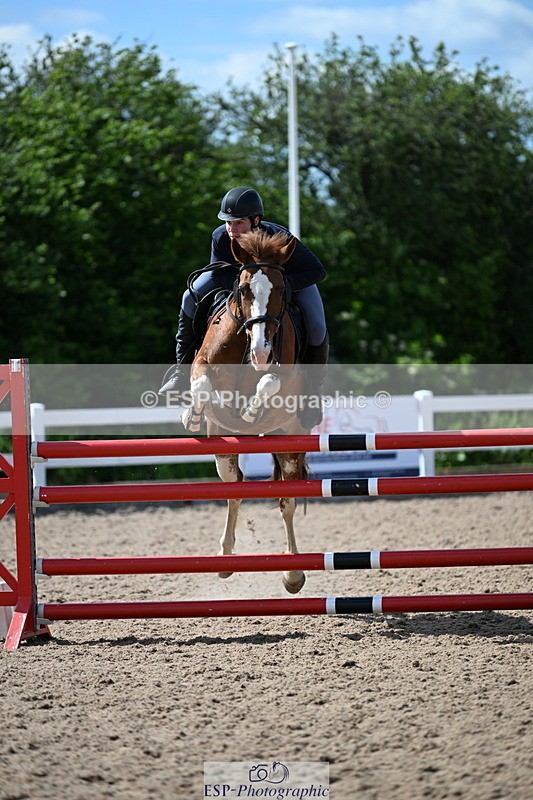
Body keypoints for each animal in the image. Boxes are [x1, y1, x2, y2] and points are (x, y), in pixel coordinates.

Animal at [181, 230, 311, 594]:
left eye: (281, 290)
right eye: (243, 289)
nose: (261, 352)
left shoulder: (283, 373)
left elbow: (268, 382)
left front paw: (253, 411)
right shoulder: (202, 362)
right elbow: (202, 384)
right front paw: (192, 414)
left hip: (290, 442)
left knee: (287, 503)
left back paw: (293, 574)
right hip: (223, 447)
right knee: (234, 487)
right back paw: (225, 560)